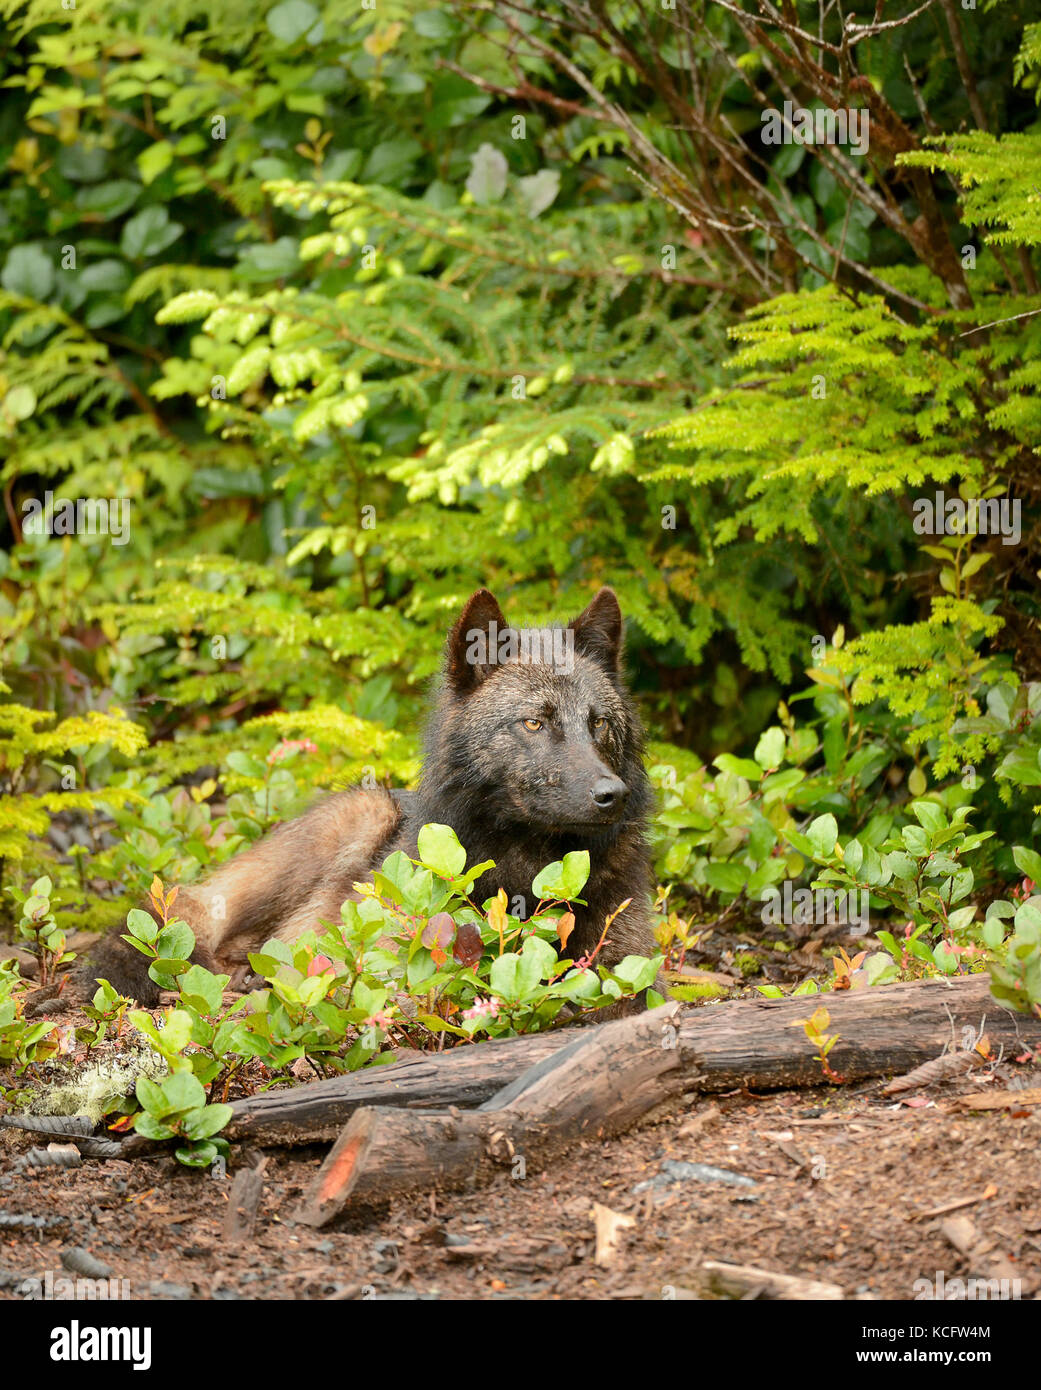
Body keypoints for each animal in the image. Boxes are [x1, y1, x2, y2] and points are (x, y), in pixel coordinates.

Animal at [91, 586, 658, 1011]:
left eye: (599, 723)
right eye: (535, 723)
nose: (612, 795)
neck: (531, 867)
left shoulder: (626, 967)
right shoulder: (399, 970)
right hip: (358, 816)